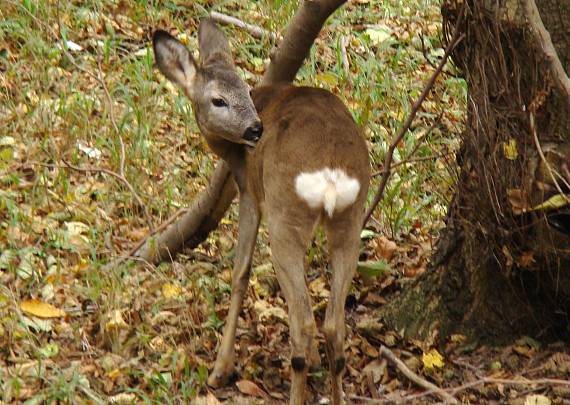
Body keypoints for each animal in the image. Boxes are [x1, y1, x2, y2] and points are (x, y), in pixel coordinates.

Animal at [153, 19, 370, 404]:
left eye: (243, 93)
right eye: (220, 99)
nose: (255, 128)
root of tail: (330, 176)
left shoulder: (250, 192)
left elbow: (240, 272)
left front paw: (220, 369)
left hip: (285, 215)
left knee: (304, 323)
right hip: (349, 220)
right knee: (333, 325)